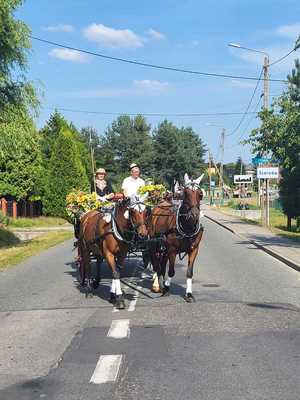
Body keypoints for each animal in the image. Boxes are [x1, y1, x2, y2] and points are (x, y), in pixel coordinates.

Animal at [149, 175, 204, 304]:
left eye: (200, 194)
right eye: (185, 193)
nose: (194, 215)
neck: (187, 228)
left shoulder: (194, 250)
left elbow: (189, 272)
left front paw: (189, 294)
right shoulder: (172, 250)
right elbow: (171, 271)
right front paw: (166, 289)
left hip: (163, 248)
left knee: (162, 265)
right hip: (154, 245)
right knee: (156, 264)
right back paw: (157, 285)